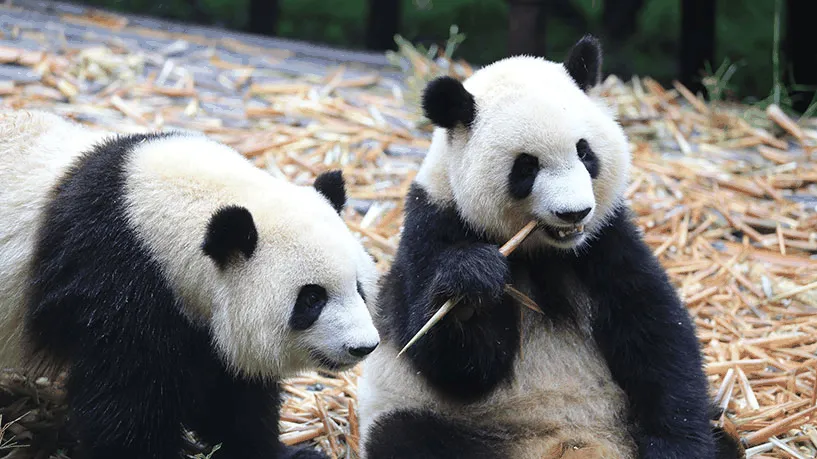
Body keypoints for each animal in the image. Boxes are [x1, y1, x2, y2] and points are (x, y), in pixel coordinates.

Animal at [0, 109, 381, 459]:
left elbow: (231, 396)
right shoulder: (115, 280)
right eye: (312, 298)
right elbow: (125, 400)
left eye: (359, 288)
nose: (363, 347)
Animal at [356, 36, 743, 459]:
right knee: (406, 435)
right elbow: (456, 364)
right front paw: (472, 284)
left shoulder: (605, 239)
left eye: (585, 152)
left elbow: (654, 332)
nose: (574, 213)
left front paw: (676, 445)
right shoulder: (433, 227)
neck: (541, 252)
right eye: (526, 167)